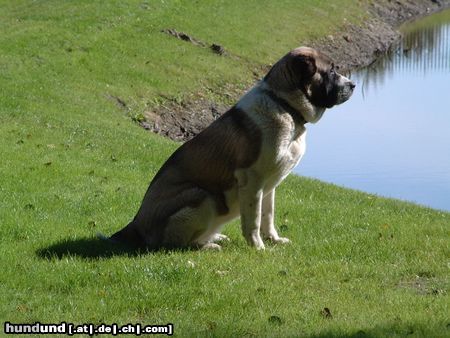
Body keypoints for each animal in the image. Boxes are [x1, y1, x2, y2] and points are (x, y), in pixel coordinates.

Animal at [106, 46, 356, 250]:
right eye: (331, 71)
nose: (353, 85)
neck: (284, 105)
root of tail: (135, 224)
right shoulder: (252, 179)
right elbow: (253, 219)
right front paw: (258, 248)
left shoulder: (270, 185)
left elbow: (268, 214)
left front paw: (274, 240)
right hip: (203, 196)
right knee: (172, 243)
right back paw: (207, 246)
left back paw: (215, 237)